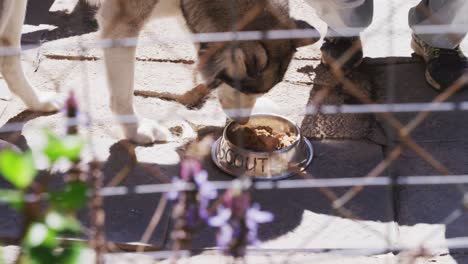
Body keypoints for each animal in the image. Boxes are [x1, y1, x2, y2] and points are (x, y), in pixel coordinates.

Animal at [0, 0, 320, 143]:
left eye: (258, 92)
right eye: (244, 89)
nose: (242, 123)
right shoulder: (120, 24)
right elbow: (122, 95)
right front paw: (136, 129)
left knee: (8, 52)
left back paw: (36, 101)